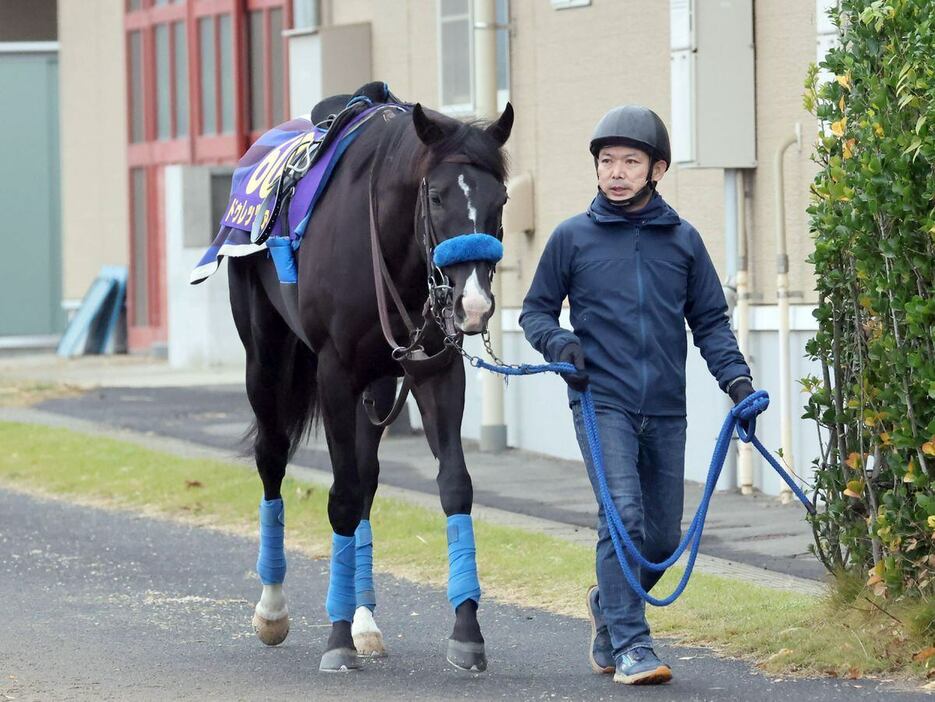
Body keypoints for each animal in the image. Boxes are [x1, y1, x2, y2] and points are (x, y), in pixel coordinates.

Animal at [218, 91, 512, 672]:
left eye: (502, 199)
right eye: (437, 197)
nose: (473, 305)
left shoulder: (434, 368)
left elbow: (453, 486)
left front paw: (467, 630)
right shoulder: (334, 372)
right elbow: (341, 496)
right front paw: (335, 638)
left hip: (377, 384)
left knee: (368, 476)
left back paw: (363, 619)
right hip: (265, 358)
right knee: (272, 457)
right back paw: (273, 609)